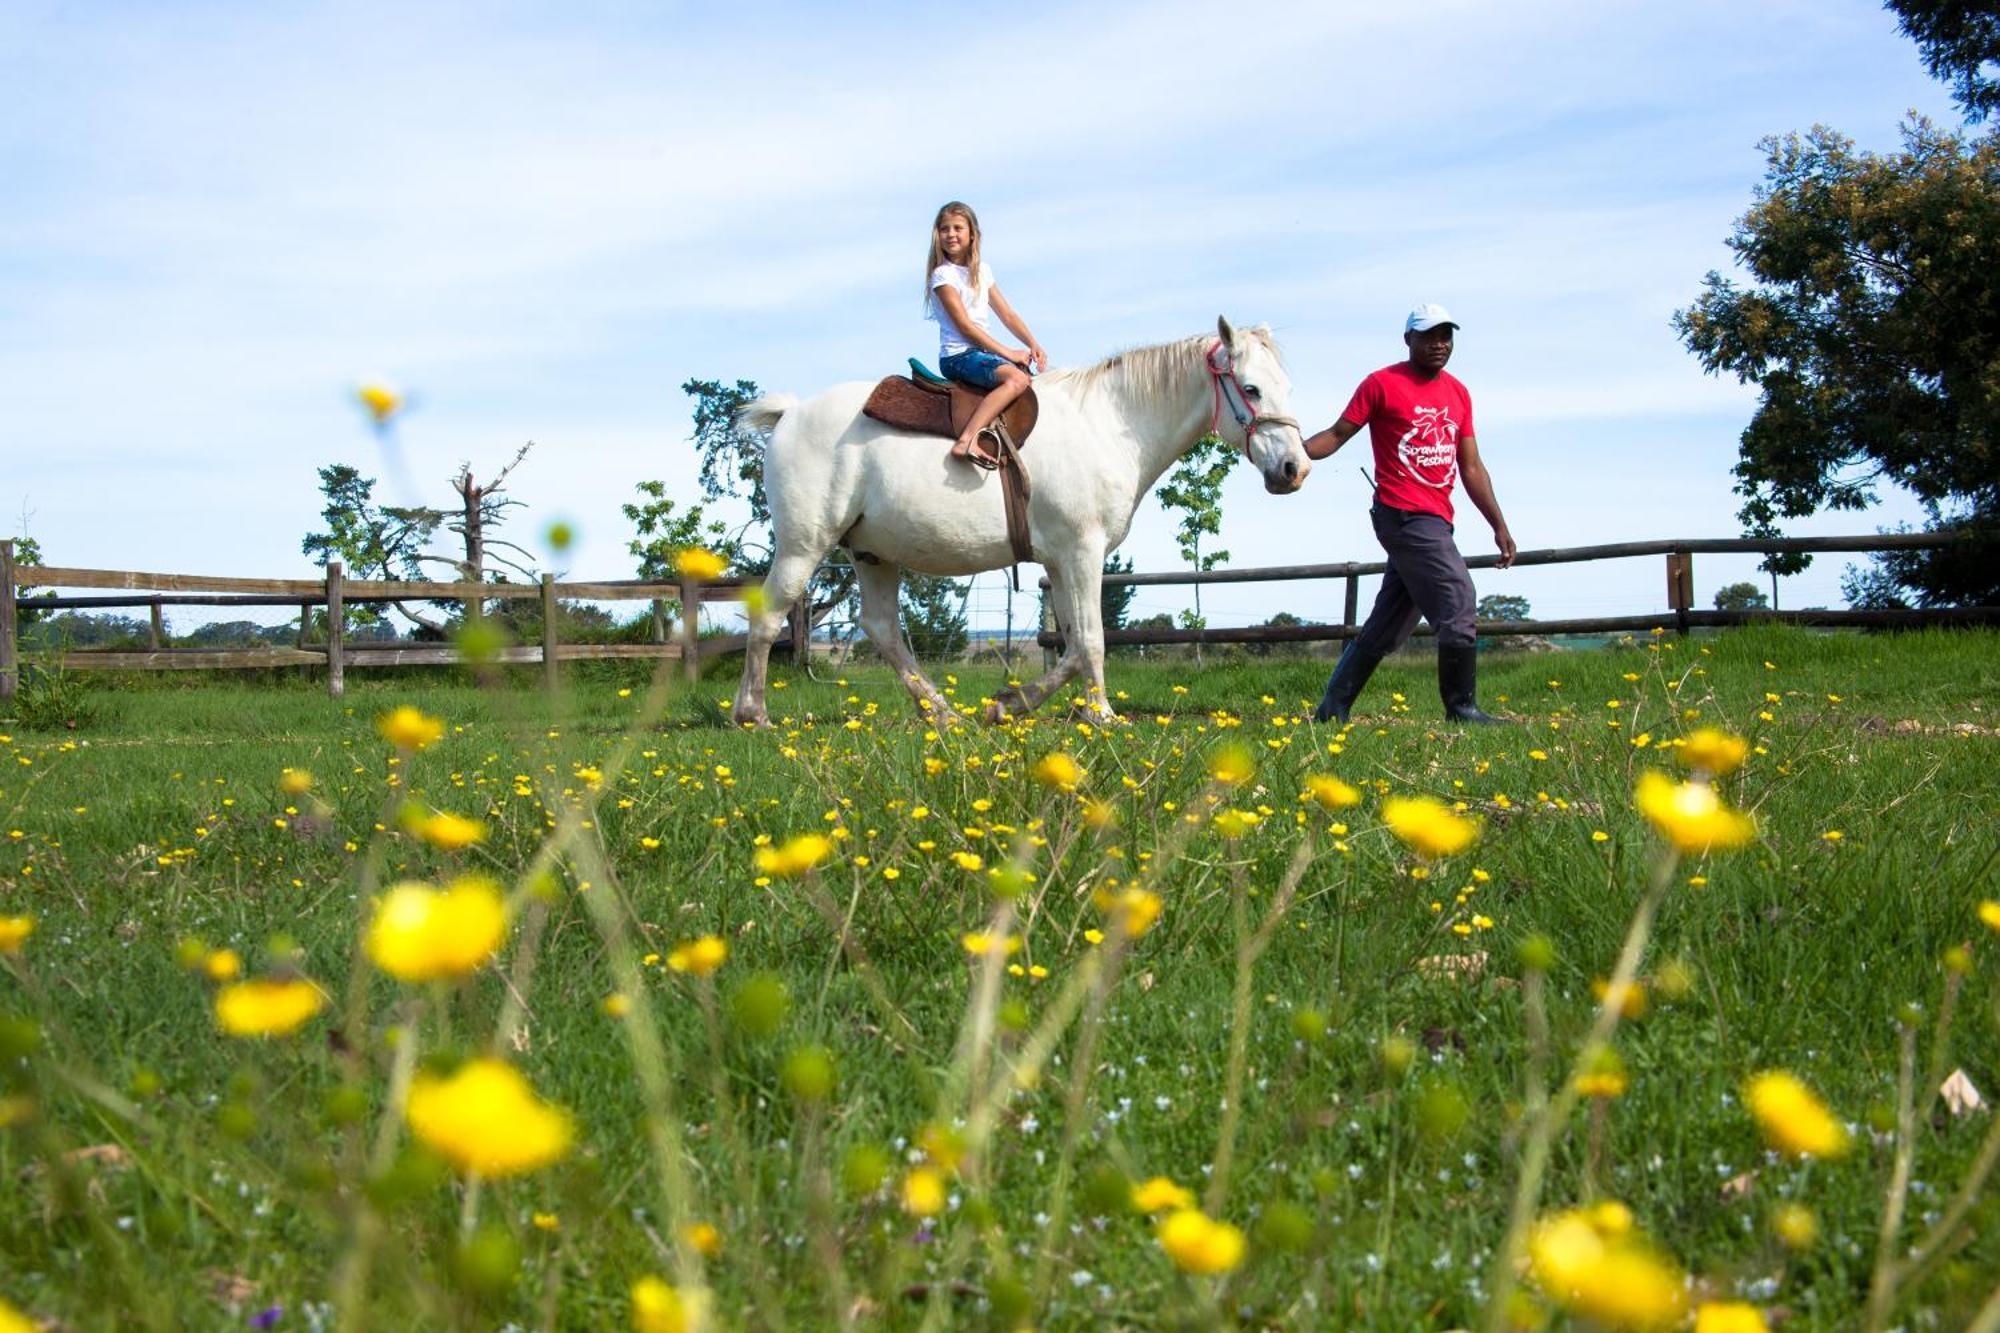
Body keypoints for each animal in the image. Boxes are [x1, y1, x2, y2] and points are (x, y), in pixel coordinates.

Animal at [736, 316, 1312, 720]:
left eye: (1286, 386)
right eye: (1251, 389)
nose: (1295, 468)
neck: (1110, 423)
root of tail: (790, 414)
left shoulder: (1060, 561)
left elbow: (1075, 643)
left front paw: (1012, 704)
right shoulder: (1082, 552)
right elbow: (1092, 640)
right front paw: (1101, 716)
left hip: (872, 553)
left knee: (882, 629)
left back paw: (942, 714)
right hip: (804, 546)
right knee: (769, 617)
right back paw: (752, 713)